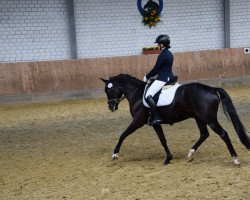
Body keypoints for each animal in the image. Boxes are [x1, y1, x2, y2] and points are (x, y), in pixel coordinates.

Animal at [100, 74, 249, 165]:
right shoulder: (155, 124)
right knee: (204, 134)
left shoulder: (138, 121)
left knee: (223, 134)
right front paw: (168, 158)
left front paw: (115, 154)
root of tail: (211, 89)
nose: (111, 107)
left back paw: (235, 159)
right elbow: (163, 140)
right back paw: (190, 153)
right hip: (199, 117)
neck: (137, 94)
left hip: (209, 118)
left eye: (108, 90)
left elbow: (123, 135)